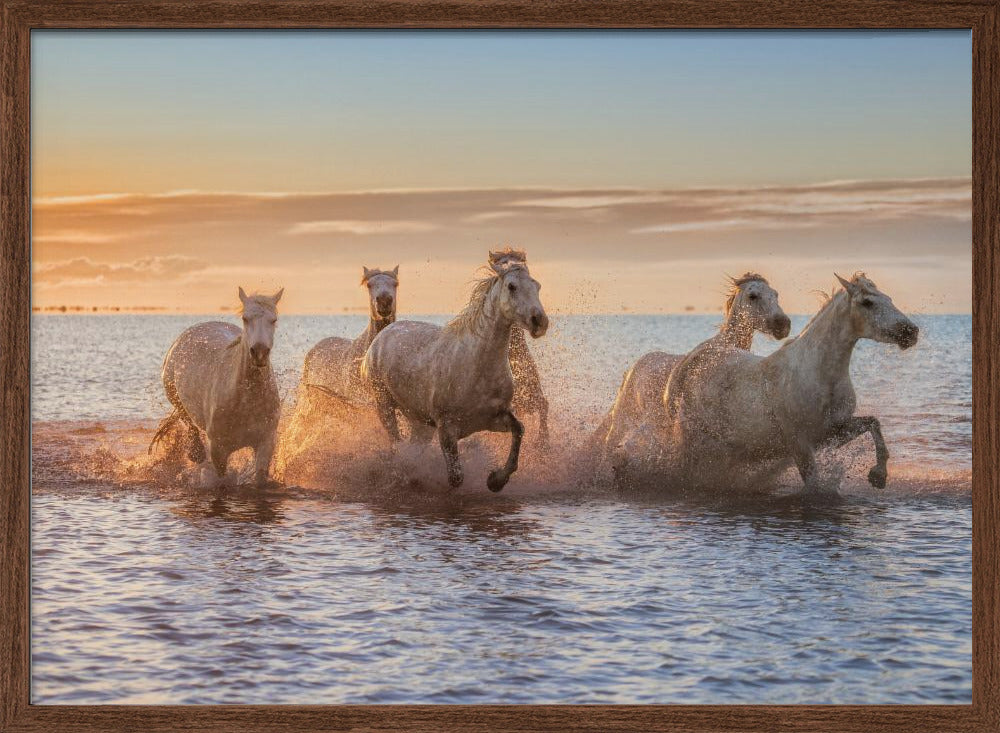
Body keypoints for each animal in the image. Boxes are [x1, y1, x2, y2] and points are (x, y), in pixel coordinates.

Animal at [151, 287, 283, 487]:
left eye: (273, 320)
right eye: (245, 318)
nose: (259, 353)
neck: (245, 402)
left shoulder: (265, 442)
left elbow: (259, 477)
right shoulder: (219, 450)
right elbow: (221, 479)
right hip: (173, 394)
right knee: (186, 418)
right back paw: (196, 452)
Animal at [362, 250, 548, 492]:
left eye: (537, 286)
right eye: (512, 286)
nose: (540, 322)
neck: (476, 367)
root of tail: (383, 334)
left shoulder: (494, 418)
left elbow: (519, 430)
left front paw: (496, 480)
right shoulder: (446, 428)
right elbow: (456, 477)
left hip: (419, 421)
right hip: (383, 404)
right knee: (396, 442)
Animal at [596, 273, 790, 461]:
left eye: (776, 294)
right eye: (753, 296)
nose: (783, 324)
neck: (722, 346)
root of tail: (632, 368)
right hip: (624, 420)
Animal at [657, 273, 918, 495]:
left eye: (889, 299)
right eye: (867, 302)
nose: (911, 331)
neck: (819, 376)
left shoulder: (833, 432)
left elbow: (874, 423)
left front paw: (878, 476)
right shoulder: (800, 444)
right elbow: (813, 484)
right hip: (694, 440)